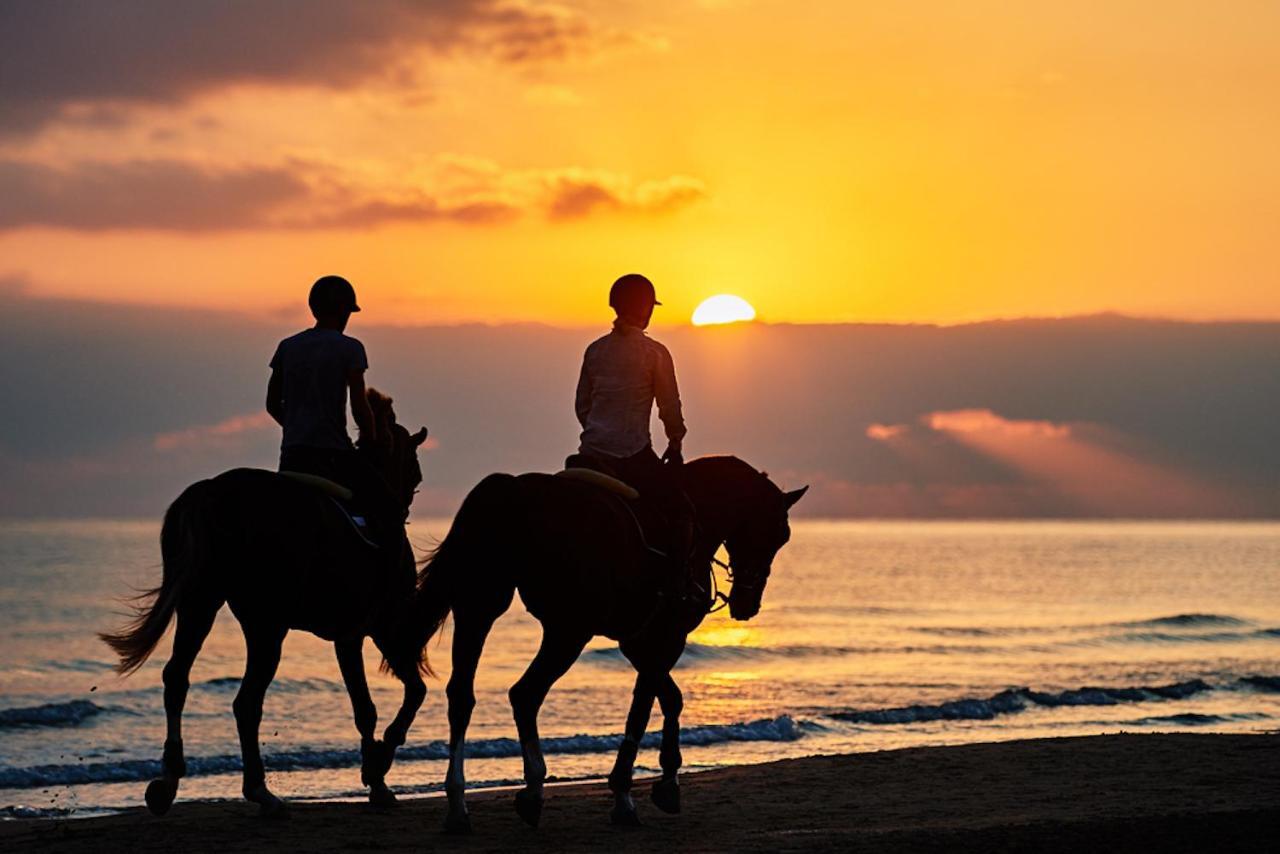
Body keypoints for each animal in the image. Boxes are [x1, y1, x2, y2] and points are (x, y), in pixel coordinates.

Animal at [99, 391, 430, 819]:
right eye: (415, 474)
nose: (405, 505)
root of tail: (213, 492)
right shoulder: (375, 629)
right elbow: (401, 696)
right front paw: (378, 770)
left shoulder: (347, 638)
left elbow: (368, 707)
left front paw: (376, 774)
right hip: (266, 625)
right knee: (246, 702)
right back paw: (260, 791)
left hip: (200, 605)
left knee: (177, 680)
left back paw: (168, 782)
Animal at [414, 458, 803, 829]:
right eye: (779, 534)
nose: (748, 604)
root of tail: (513, 492)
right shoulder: (665, 637)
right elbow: (644, 708)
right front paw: (627, 794)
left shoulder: (635, 642)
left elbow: (670, 699)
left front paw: (666, 782)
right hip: (568, 629)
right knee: (525, 694)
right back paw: (533, 789)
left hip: (479, 606)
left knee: (462, 696)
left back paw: (459, 804)